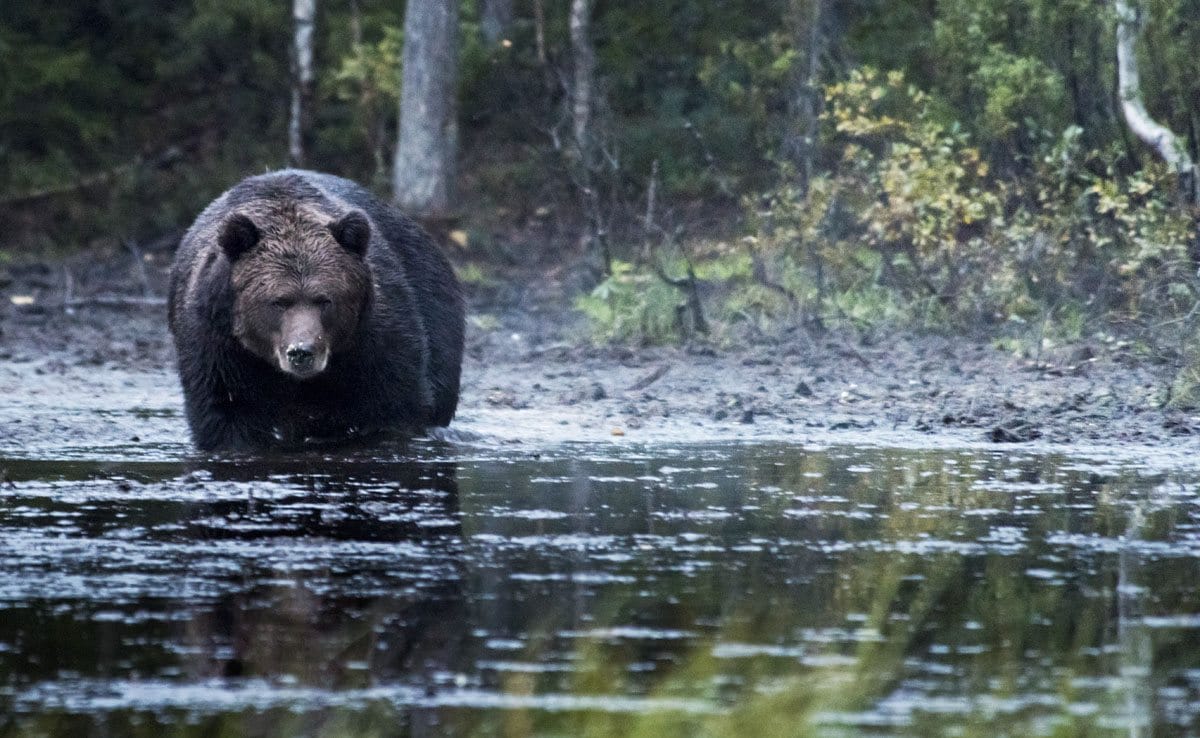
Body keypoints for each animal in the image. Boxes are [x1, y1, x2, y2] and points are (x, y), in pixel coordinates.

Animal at [168, 169, 465, 451]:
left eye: (325, 300)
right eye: (278, 301)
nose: (302, 352)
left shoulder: (374, 340)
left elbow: (396, 405)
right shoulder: (220, 344)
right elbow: (226, 413)